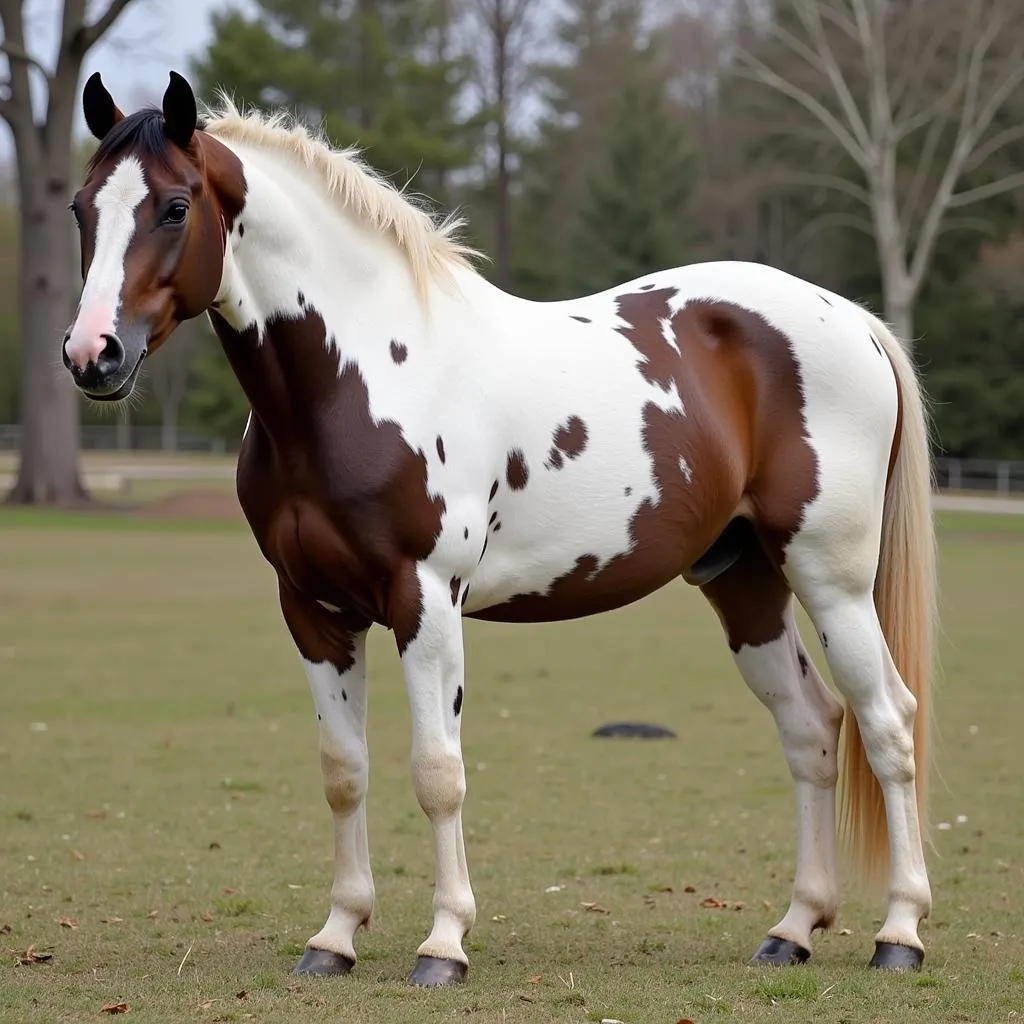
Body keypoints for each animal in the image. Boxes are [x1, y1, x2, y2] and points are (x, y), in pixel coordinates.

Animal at [64, 70, 937, 983]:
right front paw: (335, 937)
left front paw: (444, 943)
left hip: (832, 579)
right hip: (745, 582)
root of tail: (853, 321)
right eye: (82, 207)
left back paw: (900, 933)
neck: (362, 377)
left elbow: (437, 771)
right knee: (811, 727)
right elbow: (344, 771)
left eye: (173, 207)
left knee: (887, 722)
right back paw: (794, 928)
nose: (94, 355)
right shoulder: (313, 610)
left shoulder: (424, 600)